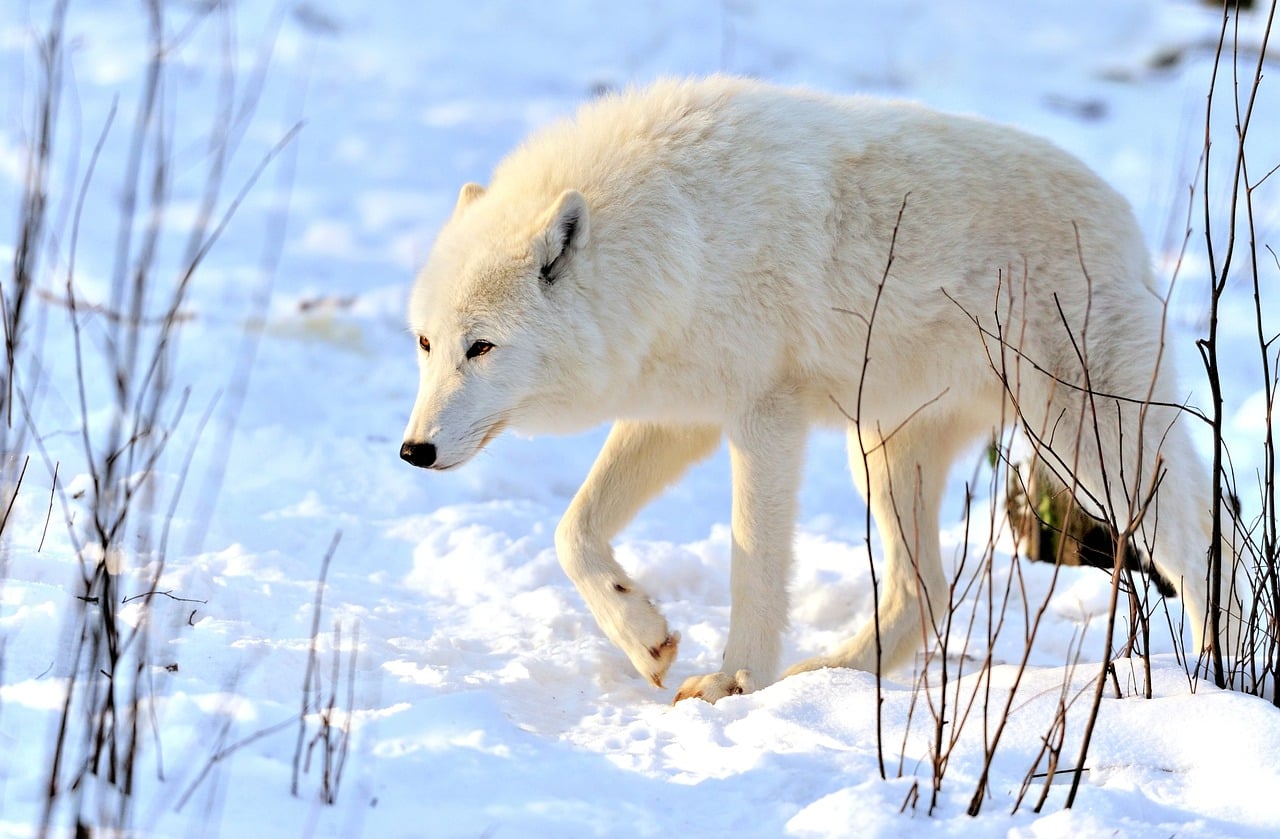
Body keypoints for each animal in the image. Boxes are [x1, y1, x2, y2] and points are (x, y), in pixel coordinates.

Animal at [401, 76, 1239, 703]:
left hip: (1091, 445)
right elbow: (571, 532)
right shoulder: (680, 418)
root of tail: (1124, 215)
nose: (414, 450)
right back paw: (828, 674)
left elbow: (754, 566)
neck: (678, 235)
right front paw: (646, 639)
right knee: (926, 588)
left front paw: (733, 683)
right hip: (887, 454)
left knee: (1204, 546)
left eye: (482, 346)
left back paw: (1212, 677)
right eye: (427, 343)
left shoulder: (763, 417)